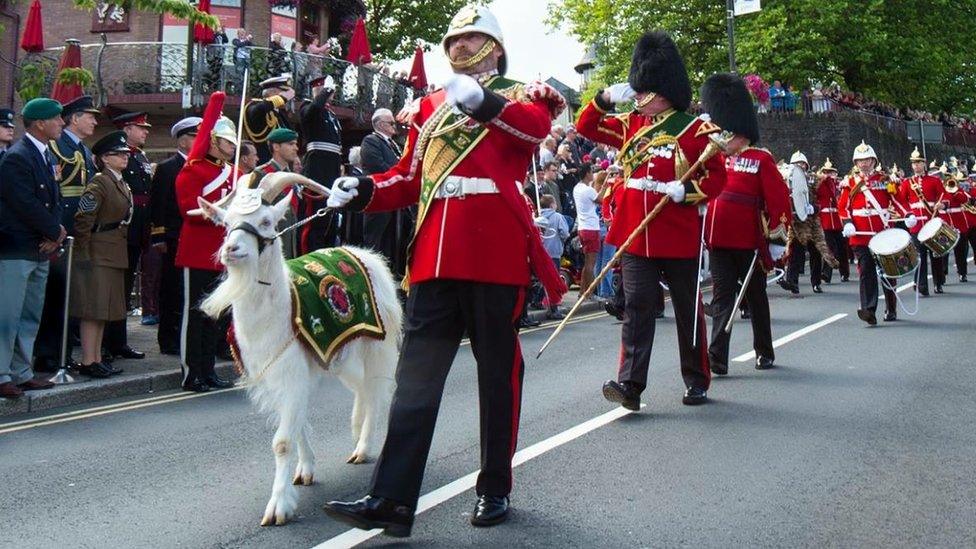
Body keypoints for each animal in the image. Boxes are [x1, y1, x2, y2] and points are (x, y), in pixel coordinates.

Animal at [194, 173, 400, 524]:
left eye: (265, 222)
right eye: (227, 223)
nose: (231, 249)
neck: (280, 311)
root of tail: (364, 254)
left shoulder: (289, 374)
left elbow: (282, 441)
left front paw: (279, 506)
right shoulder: (279, 376)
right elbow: (298, 424)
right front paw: (304, 472)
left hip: (376, 343)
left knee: (374, 391)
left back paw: (363, 448)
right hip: (340, 357)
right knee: (361, 388)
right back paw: (356, 429)